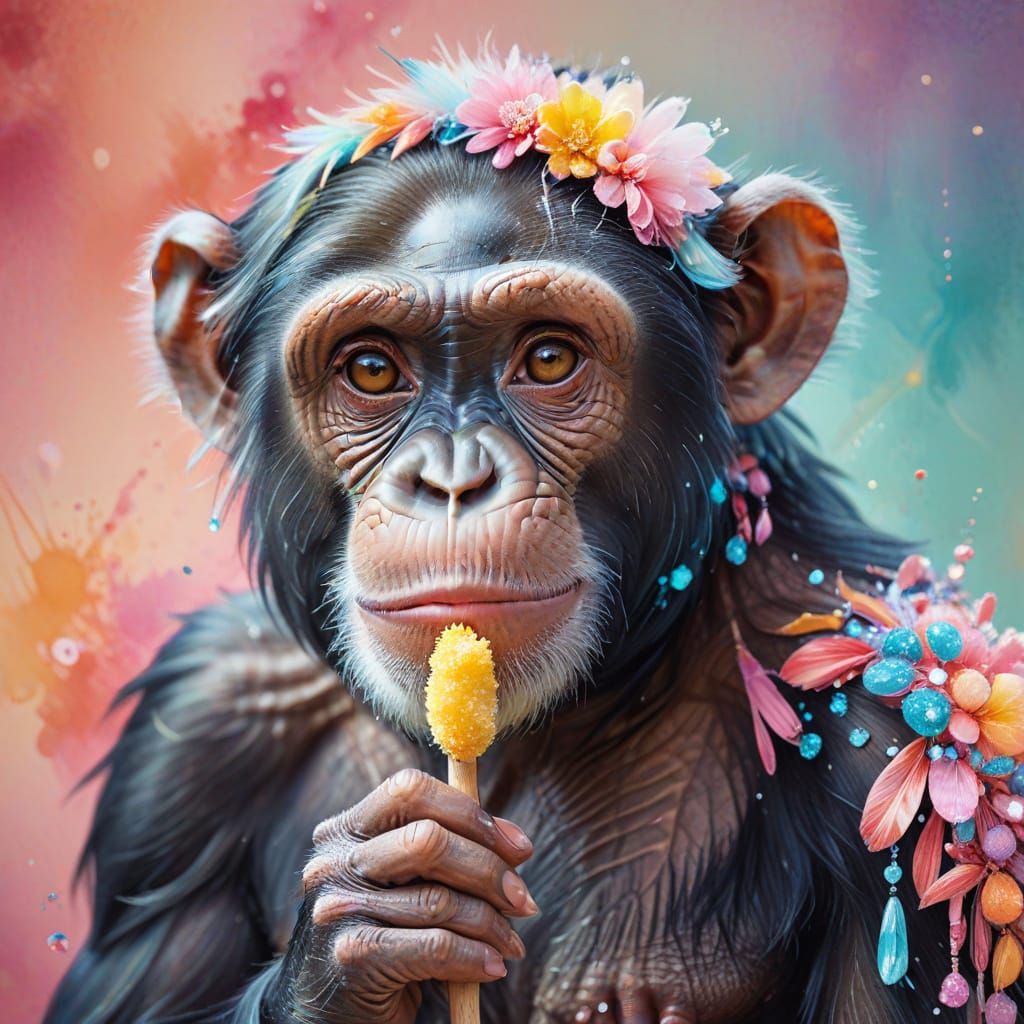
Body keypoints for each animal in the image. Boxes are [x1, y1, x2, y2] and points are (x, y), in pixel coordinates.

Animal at [45, 100, 955, 1022]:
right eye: (371, 368)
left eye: (549, 358)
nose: (453, 479)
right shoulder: (188, 742)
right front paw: (375, 913)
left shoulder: (896, 742)